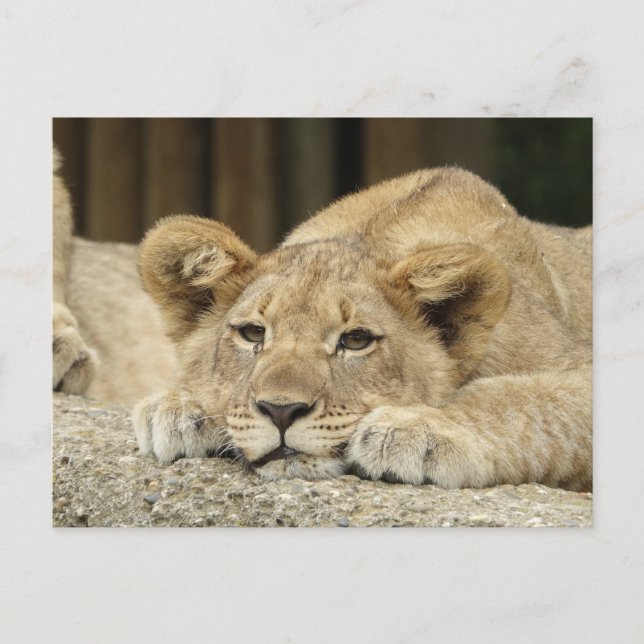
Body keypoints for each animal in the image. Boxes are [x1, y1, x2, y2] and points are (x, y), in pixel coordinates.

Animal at [54, 157, 592, 490]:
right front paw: (180, 409)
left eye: (355, 341)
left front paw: (416, 429)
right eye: (253, 333)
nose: (281, 411)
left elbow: (520, 401)